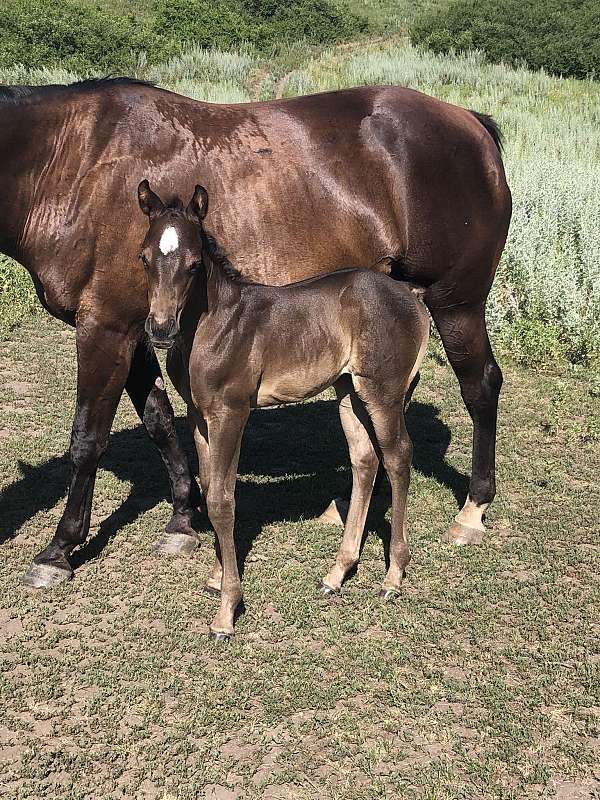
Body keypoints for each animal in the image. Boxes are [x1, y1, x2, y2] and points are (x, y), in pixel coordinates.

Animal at [0, 78, 510, 588]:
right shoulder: (137, 331)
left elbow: (87, 438)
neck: (75, 161)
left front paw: (58, 549)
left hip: (456, 305)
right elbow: (159, 421)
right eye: (143, 259)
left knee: (480, 386)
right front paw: (183, 519)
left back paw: (472, 510)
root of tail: (473, 123)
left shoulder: (104, 328)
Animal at [137, 180, 431, 638]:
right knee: (364, 460)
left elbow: (222, 499)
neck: (213, 324)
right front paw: (217, 577)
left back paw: (393, 576)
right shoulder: (199, 416)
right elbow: (209, 486)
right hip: (348, 392)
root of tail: (413, 298)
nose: (161, 330)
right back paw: (337, 573)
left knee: (398, 457)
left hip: (382, 391)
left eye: (193, 264)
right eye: (145, 258)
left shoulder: (231, 412)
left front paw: (227, 609)